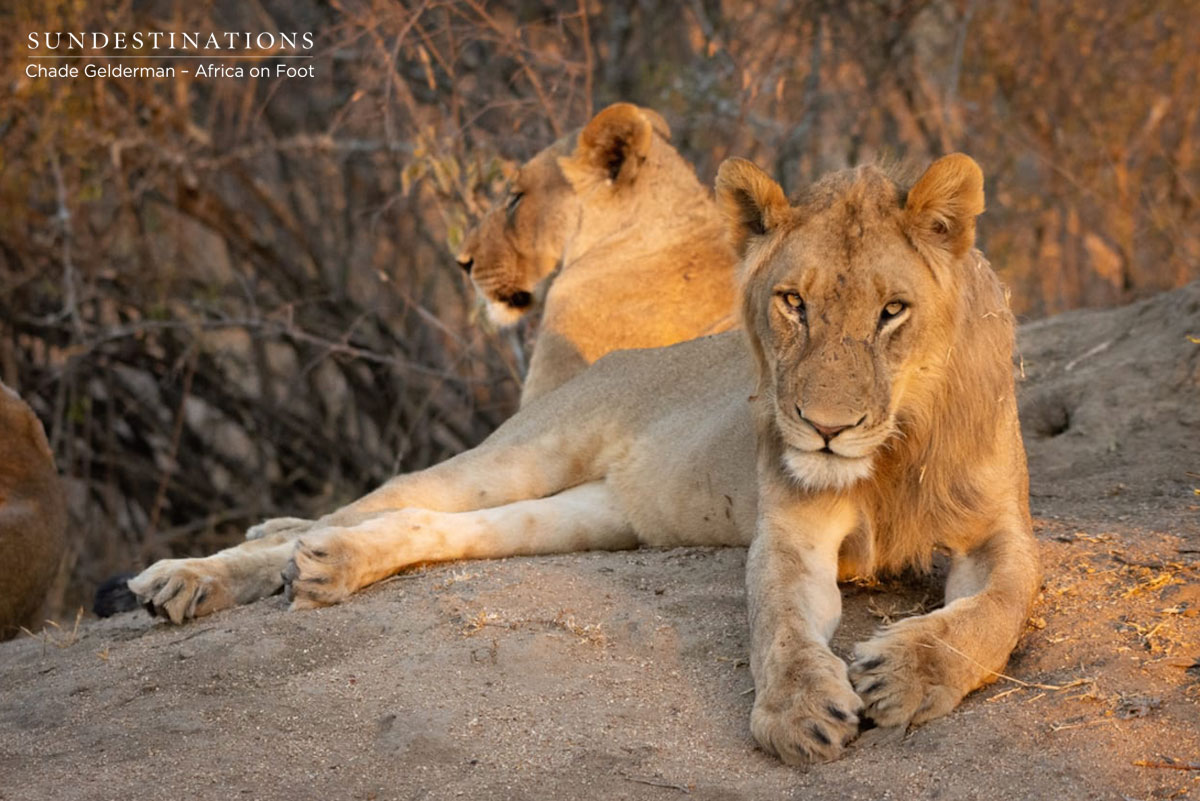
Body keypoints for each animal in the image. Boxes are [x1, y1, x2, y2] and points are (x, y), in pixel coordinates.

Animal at [127, 153, 1039, 763]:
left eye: (892, 311)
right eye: (793, 302)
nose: (824, 428)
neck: (894, 448)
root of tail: (616, 361)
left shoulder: (1004, 532)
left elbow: (998, 611)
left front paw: (909, 673)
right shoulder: (790, 533)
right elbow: (779, 621)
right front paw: (798, 710)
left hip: (583, 514)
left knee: (422, 523)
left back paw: (326, 566)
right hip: (523, 452)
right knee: (369, 500)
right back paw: (187, 578)